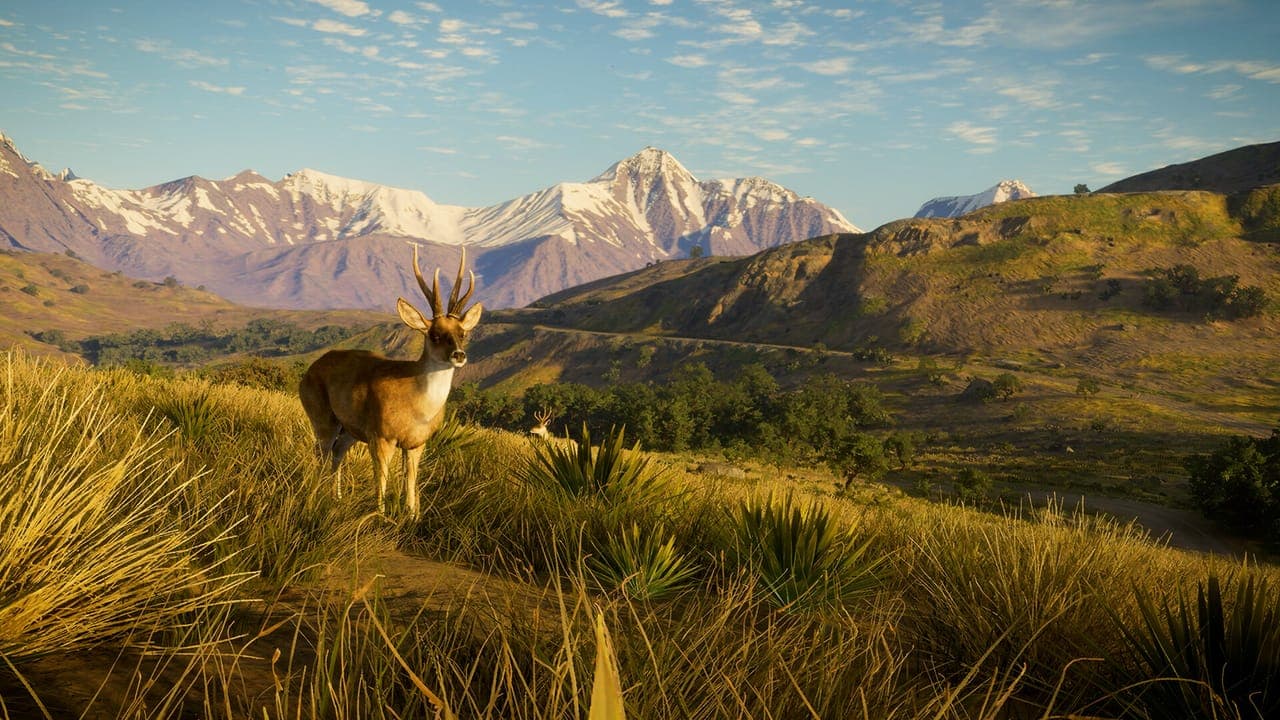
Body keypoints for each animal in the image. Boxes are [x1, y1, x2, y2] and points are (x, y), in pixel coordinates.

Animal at [299, 245, 482, 518]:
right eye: (435, 335)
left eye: (463, 334)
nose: (459, 355)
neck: (418, 407)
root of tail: (309, 370)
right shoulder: (381, 435)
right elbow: (381, 479)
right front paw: (380, 516)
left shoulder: (417, 442)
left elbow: (411, 481)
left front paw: (412, 515)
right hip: (321, 416)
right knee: (320, 453)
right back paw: (313, 500)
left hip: (349, 429)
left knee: (337, 453)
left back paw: (336, 498)